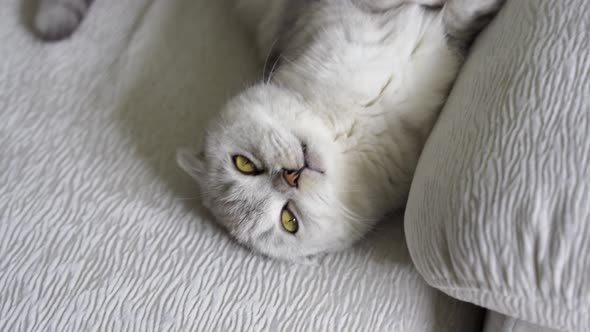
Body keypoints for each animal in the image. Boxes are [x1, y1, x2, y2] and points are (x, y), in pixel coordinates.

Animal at [180, 0, 504, 262]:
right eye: (289, 220)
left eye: (243, 165)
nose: (291, 177)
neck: (346, 131)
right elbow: (454, 23)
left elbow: (449, 13)